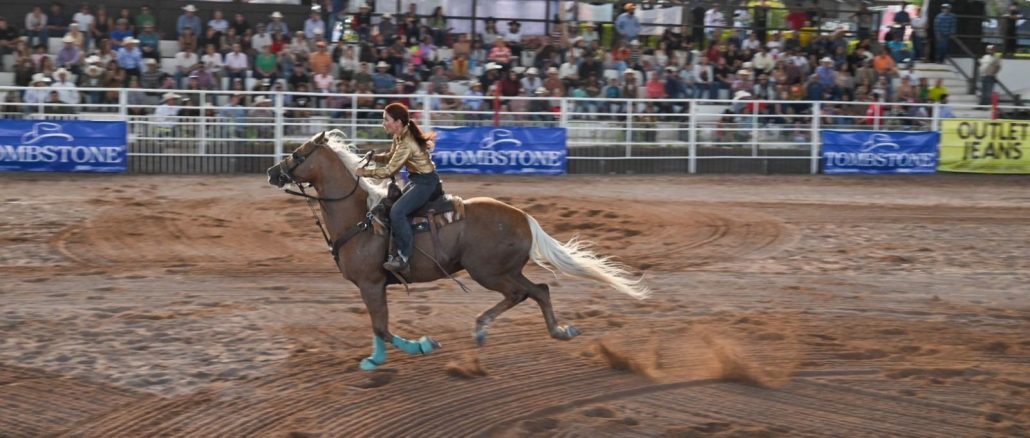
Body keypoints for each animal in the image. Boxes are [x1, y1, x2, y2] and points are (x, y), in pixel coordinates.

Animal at [266, 130, 649, 371]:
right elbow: (380, 327)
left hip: (487, 272)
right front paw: (379, 359)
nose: (272, 172)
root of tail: (525, 218)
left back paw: (482, 329)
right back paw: (557, 331)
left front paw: (418, 347)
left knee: (522, 294)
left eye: (298, 154)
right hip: (507, 270)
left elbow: (382, 328)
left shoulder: (371, 283)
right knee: (538, 291)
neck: (360, 216)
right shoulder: (374, 286)